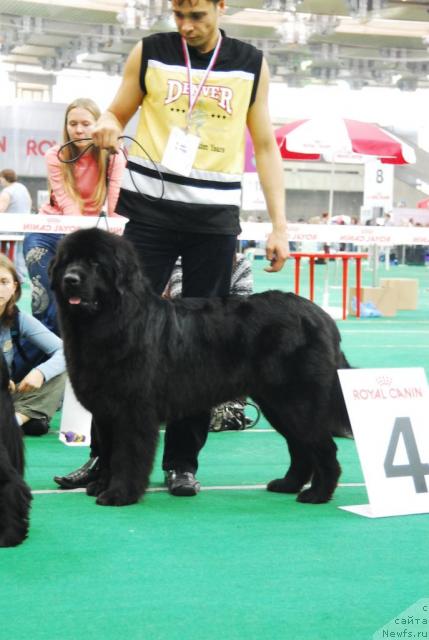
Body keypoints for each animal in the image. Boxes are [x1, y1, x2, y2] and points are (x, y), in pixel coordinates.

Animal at [51, 228, 352, 508]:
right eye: (68, 261)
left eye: (95, 263)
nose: (70, 280)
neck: (113, 320)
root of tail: (322, 316)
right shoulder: (105, 410)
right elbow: (107, 452)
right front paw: (100, 486)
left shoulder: (132, 410)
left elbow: (127, 455)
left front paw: (118, 494)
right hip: (276, 403)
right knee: (300, 446)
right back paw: (288, 484)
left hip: (297, 400)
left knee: (323, 447)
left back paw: (317, 494)